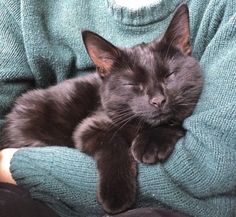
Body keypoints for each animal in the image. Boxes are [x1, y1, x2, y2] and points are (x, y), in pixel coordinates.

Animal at [0, 4, 202, 214]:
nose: (158, 100)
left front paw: (151, 142)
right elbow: (113, 144)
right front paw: (116, 194)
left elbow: (178, 119)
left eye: (169, 75)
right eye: (132, 84)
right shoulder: (90, 126)